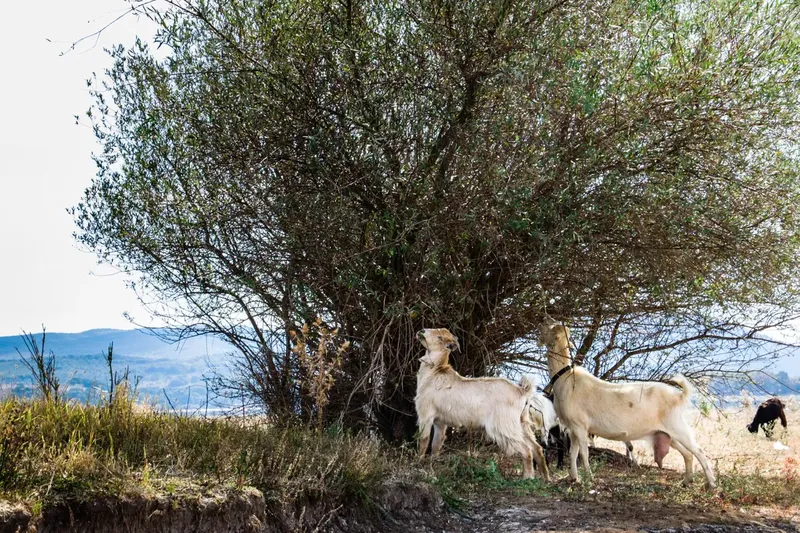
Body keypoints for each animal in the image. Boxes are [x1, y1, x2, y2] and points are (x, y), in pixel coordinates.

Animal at [415, 328, 549, 480]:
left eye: (440, 337)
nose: (421, 331)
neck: (435, 372)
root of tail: (522, 391)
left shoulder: (425, 415)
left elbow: (424, 440)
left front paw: (418, 462)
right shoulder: (440, 422)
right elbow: (436, 444)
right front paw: (432, 463)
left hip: (504, 426)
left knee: (526, 449)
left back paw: (527, 477)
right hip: (521, 424)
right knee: (537, 448)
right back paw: (546, 479)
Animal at [539, 320, 716, 489]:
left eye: (550, 328)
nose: (543, 320)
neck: (566, 378)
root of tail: (679, 395)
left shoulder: (580, 426)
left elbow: (583, 453)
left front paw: (588, 478)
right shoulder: (573, 428)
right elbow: (573, 453)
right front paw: (573, 478)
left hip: (677, 426)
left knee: (699, 451)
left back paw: (711, 484)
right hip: (667, 434)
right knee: (688, 454)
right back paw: (686, 481)